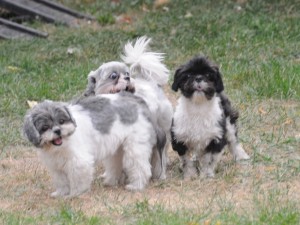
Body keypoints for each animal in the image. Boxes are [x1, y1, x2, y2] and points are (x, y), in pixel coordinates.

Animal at [22, 92, 166, 197]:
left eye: (61, 121)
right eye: (45, 127)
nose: (57, 130)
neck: (61, 146)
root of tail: (137, 100)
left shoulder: (79, 162)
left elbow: (78, 180)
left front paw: (74, 194)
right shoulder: (56, 166)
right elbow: (61, 181)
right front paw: (61, 194)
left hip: (135, 146)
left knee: (140, 167)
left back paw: (136, 185)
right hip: (118, 148)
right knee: (116, 164)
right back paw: (110, 181)